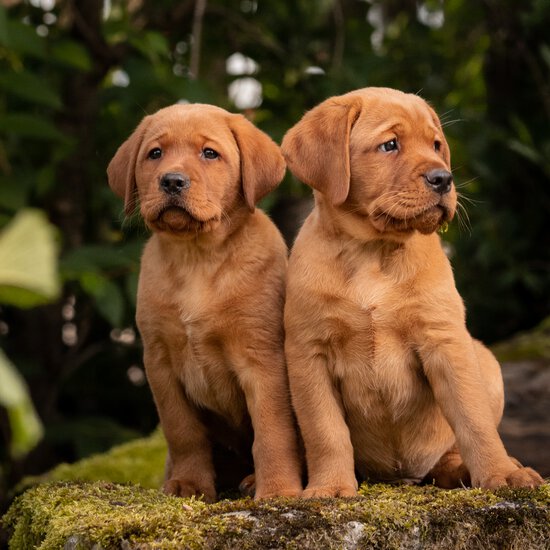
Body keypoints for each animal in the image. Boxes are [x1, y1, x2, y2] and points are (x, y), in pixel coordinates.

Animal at [108, 104, 304, 504]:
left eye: (209, 154)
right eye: (155, 153)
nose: (172, 181)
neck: (197, 258)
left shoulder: (263, 360)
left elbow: (272, 431)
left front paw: (277, 489)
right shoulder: (160, 362)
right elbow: (182, 432)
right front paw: (189, 484)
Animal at [282, 88, 544, 498]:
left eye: (436, 145)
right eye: (390, 145)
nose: (444, 178)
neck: (373, 252)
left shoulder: (446, 342)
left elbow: (474, 420)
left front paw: (502, 474)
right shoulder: (309, 353)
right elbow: (325, 431)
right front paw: (331, 486)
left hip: (485, 361)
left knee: (450, 450)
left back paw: (467, 470)